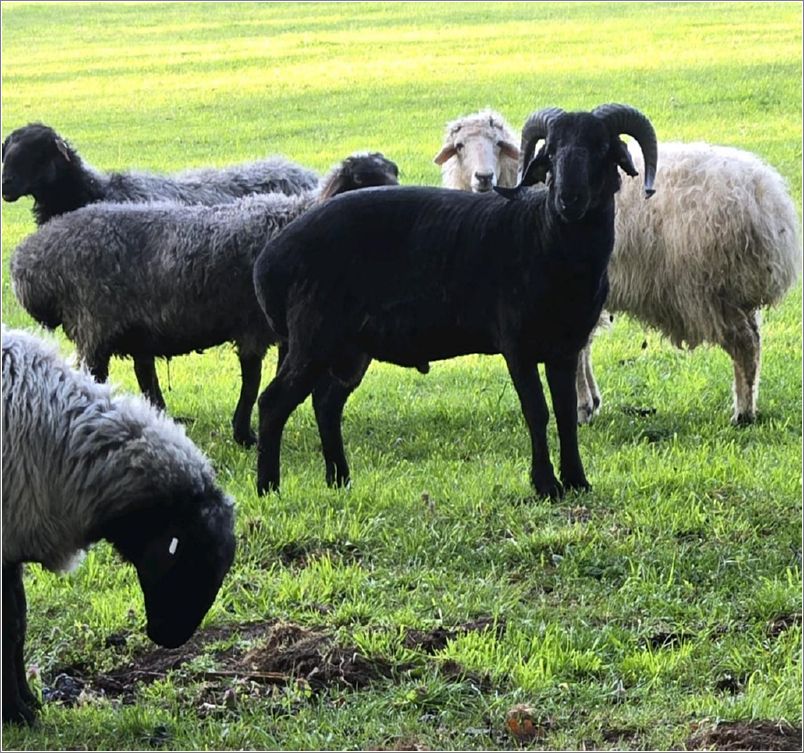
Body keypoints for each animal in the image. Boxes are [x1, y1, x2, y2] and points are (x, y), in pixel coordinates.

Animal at [1, 328, 236, 724]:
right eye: (187, 561)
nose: (167, 638)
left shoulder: (14, 540)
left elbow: (18, 625)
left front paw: (27, 704)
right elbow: (9, 627)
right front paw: (16, 713)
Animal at [11, 153, 400, 446]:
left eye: (394, 173)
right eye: (365, 179)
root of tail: (29, 260)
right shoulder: (252, 325)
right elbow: (253, 380)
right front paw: (245, 434)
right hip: (94, 325)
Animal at [254, 103, 656, 496]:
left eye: (602, 149)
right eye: (551, 152)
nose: (568, 200)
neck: (544, 237)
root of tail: (270, 258)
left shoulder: (566, 347)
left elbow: (565, 412)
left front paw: (577, 480)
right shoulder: (517, 345)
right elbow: (537, 412)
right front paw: (545, 485)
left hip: (352, 349)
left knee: (326, 403)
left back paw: (340, 480)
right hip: (313, 338)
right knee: (273, 402)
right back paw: (269, 487)